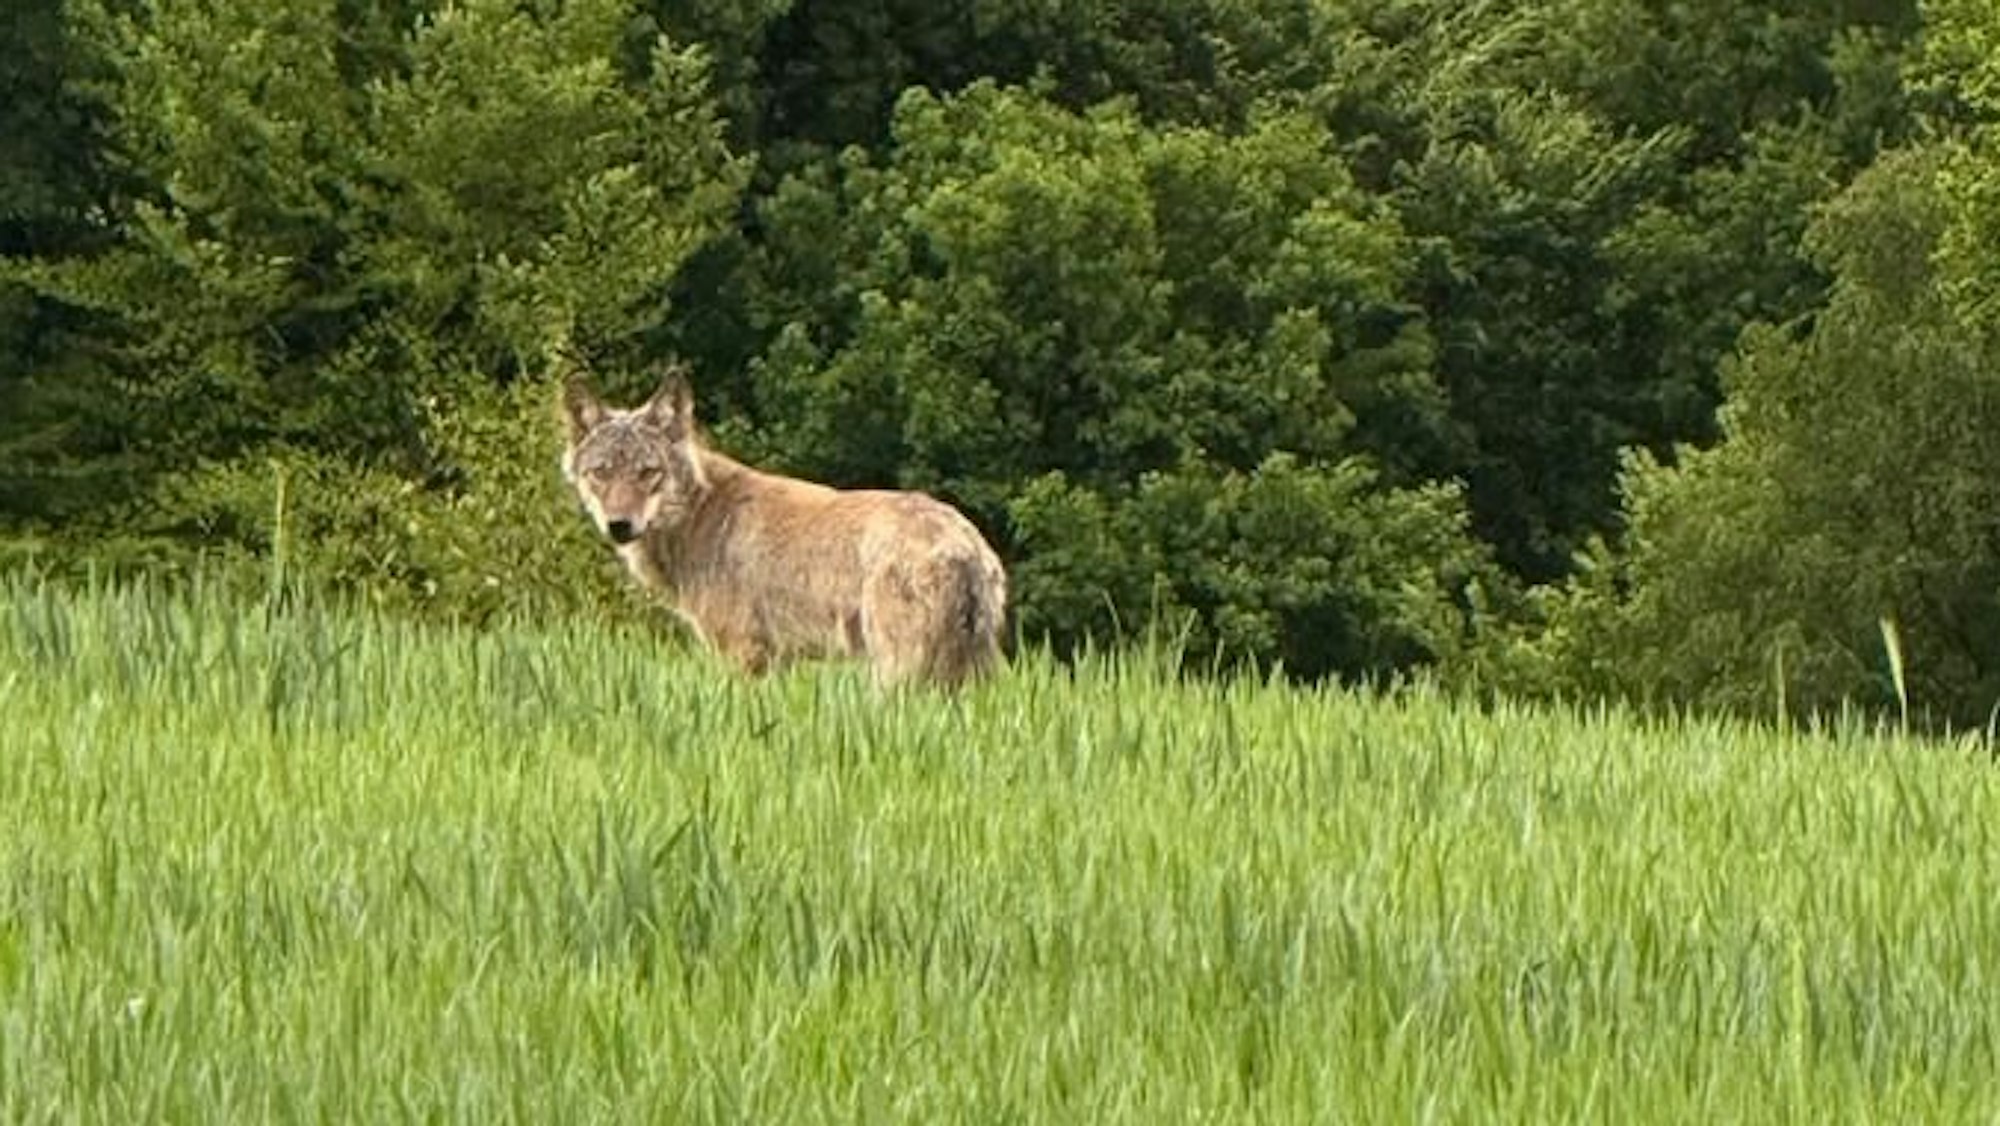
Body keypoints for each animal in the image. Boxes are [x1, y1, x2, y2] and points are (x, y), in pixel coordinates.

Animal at [560, 362, 1008, 688]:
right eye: (601, 472)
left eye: (647, 472)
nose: (619, 525)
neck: (700, 514)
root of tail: (965, 545)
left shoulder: (742, 655)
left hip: (893, 674)